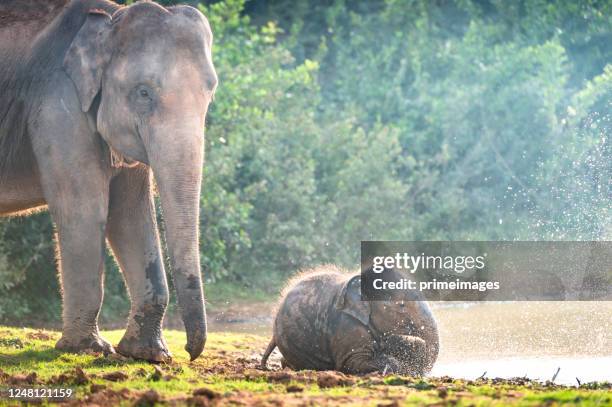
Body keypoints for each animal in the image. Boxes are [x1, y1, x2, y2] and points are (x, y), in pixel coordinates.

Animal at [0, 0, 218, 364]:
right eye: (143, 92)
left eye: (210, 91)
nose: (190, 352)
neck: (110, 21)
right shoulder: (58, 106)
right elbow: (85, 211)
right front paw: (87, 348)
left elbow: (129, 215)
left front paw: (148, 354)